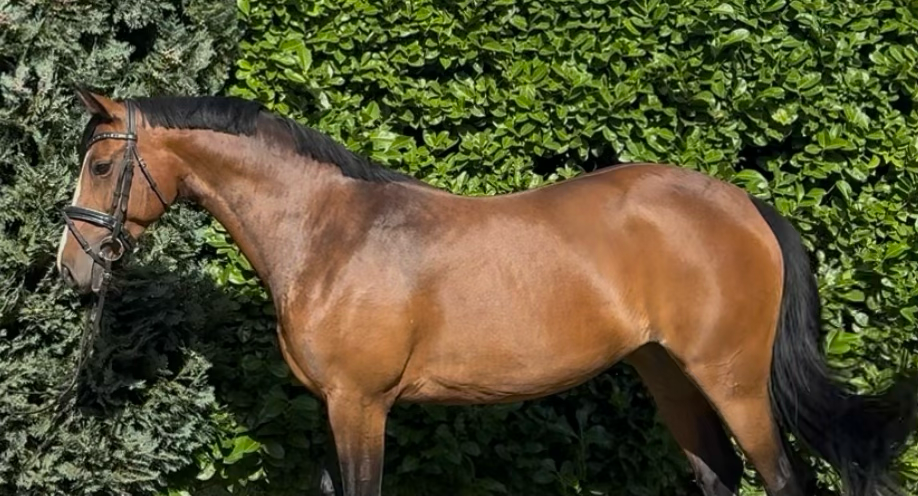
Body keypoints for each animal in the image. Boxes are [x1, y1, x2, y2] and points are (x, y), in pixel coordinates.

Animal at [55, 87, 918, 496]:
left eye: (100, 164)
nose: (73, 265)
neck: (331, 234)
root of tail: (742, 204)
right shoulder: (334, 406)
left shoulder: (361, 406)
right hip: (670, 373)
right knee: (716, 474)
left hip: (733, 379)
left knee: (781, 478)